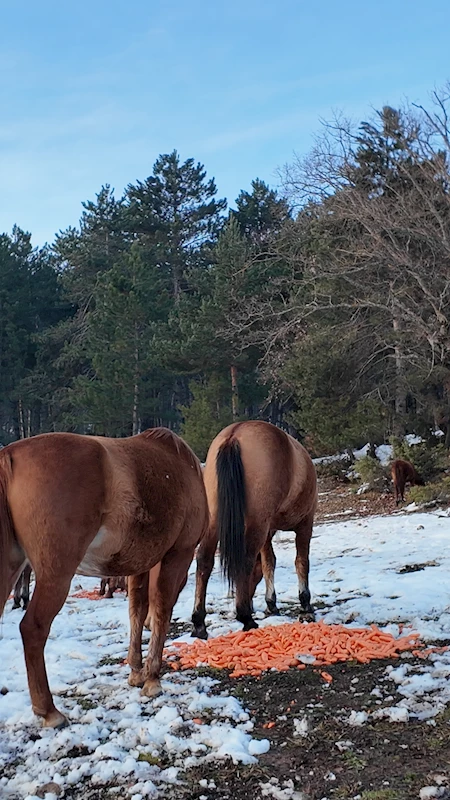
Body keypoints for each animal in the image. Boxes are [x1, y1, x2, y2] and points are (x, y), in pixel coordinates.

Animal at [0, 428, 207, 728]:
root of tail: (9, 455)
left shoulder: (140, 564)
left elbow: (137, 610)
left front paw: (136, 671)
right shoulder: (177, 555)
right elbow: (161, 610)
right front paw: (152, 678)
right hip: (55, 575)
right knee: (33, 629)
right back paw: (49, 710)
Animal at [192, 422, 318, 640]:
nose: (250, 601)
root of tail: (235, 435)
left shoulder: (267, 531)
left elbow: (268, 563)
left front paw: (271, 604)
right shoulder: (304, 524)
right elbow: (301, 562)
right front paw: (305, 605)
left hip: (214, 521)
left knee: (204, 560)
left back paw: (200, 623)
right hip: (257, 524)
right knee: (244, 560)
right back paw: (246, 618)